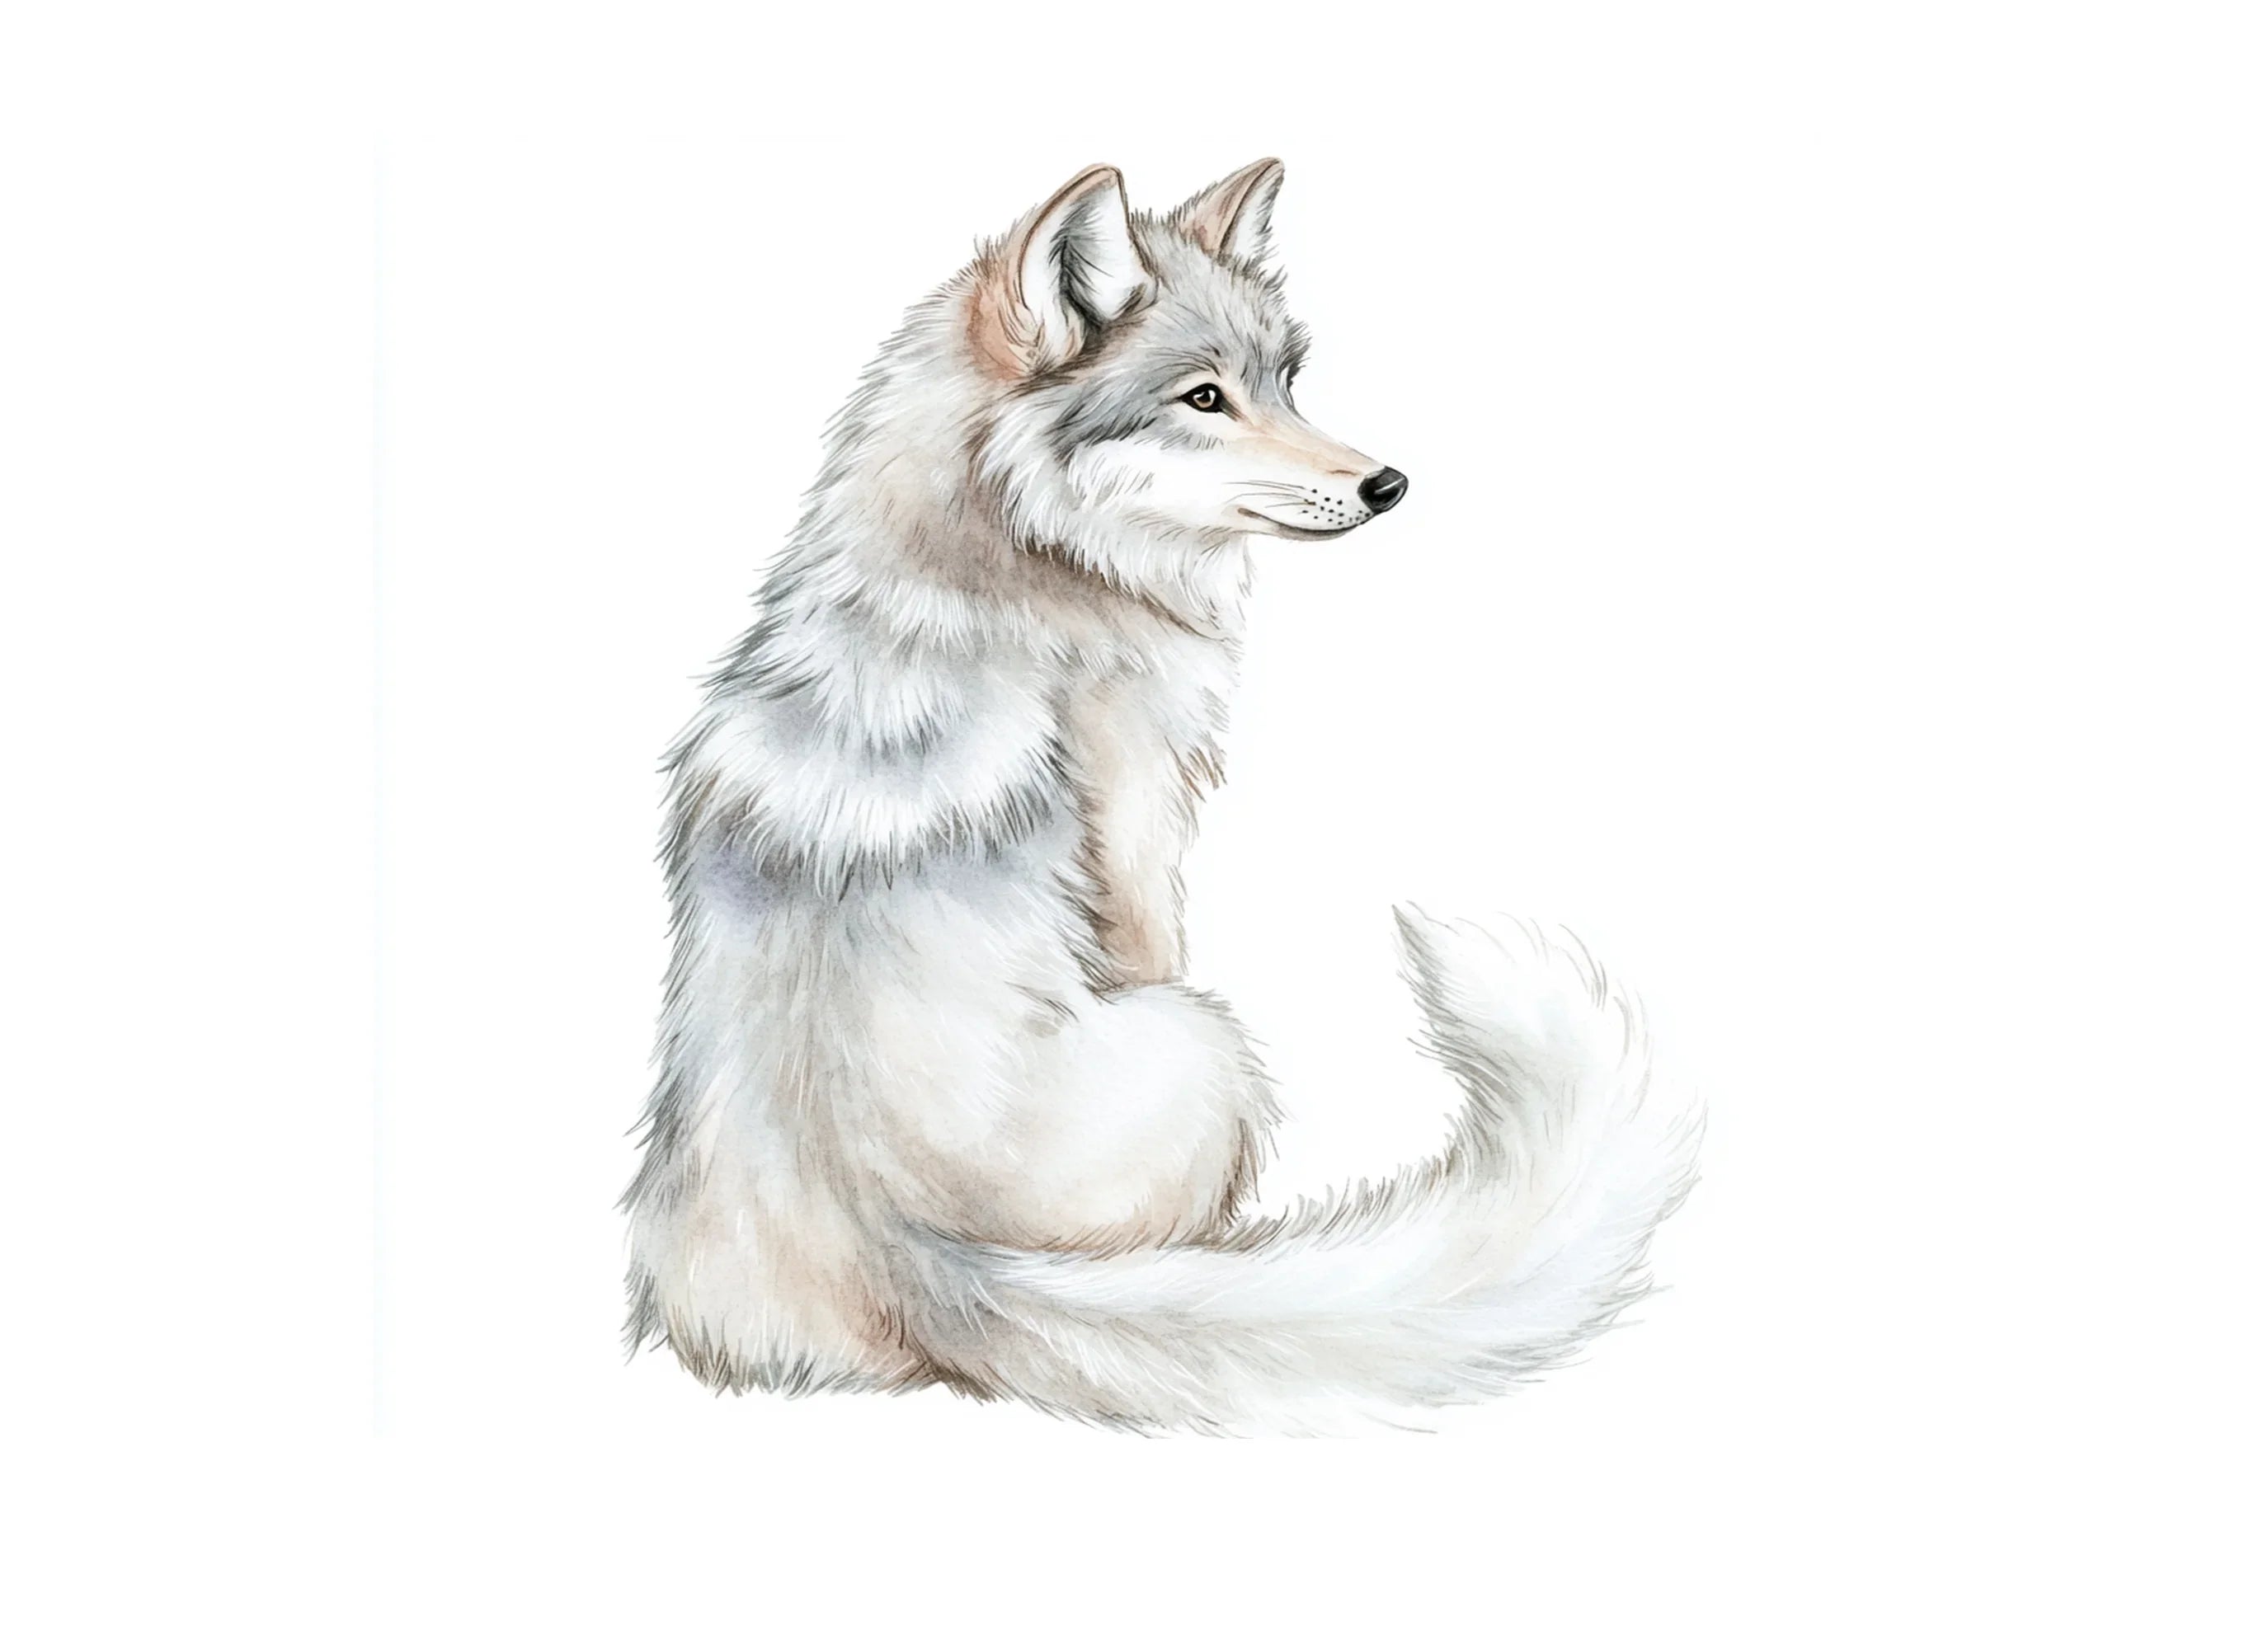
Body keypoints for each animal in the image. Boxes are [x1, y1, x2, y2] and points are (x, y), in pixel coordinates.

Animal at [622, 159, 1701, 1435]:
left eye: (1283, 383)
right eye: (1200, 398)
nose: (1386, 484)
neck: (1016, 550)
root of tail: (905, 1243)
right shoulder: (1136, 823)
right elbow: (1145, 924)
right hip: (1207, 1042)